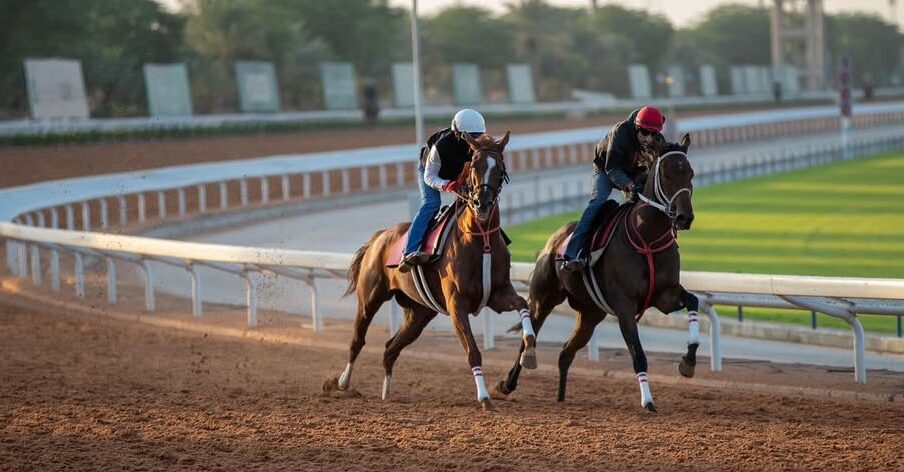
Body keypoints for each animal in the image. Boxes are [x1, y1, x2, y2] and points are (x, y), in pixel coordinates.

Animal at [324, 131, 538, 410]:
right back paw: (342, 383)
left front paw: (530, 353)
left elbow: (524, 307)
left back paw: (387, 393)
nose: (481, 204)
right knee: (357, 341)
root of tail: (378, 237)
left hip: (419, 313)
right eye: (474, 166)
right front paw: (484, 397)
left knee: (391, 348)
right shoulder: (457, 304)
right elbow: (473, 351)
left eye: (500, 169)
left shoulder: (498, 294)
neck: (481, 240)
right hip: (370, 299)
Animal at [495, 133, 699, 412]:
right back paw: (508, 383)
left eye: (690, 173)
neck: (646, 236)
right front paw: (647, 401)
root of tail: (552, 240)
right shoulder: (624, 305)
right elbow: (638, 354)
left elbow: (693, 301)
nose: (684, 217)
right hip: (543, 299)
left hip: (591, 313)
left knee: (566, 353)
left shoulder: (665, 296)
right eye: (667, 175)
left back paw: (561, 397)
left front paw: (688, 362)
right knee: (528, 338)